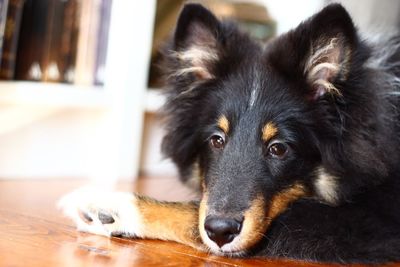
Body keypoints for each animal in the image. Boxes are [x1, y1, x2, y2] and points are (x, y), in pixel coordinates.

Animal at [59, 3, 400, 264]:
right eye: (216, 140)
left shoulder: (366, 223)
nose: (221, 231)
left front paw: (106, 204)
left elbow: (192, 214)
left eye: (279, 148)